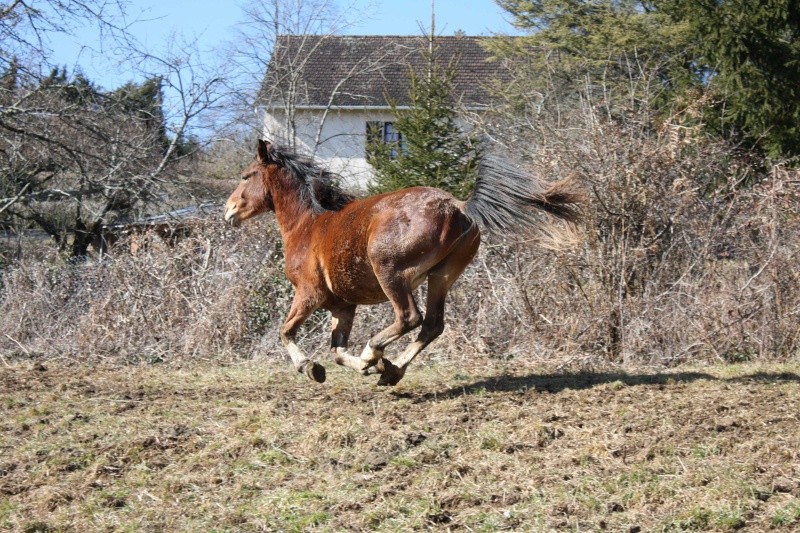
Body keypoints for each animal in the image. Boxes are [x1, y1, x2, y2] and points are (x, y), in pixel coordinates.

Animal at [225, 139, 580, 384]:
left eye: (245, 176)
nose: (228, 211)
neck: (307, 225)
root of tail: (457, 206)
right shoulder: (342, 306)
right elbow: (337, 350)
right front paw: (366, 367)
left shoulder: (308, 294)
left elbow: (286, 332)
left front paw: (313, 368)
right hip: (442, 276)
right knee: (432, 325)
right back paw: (390, 370)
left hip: (390, 273)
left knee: (410, 317)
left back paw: (376, 353)